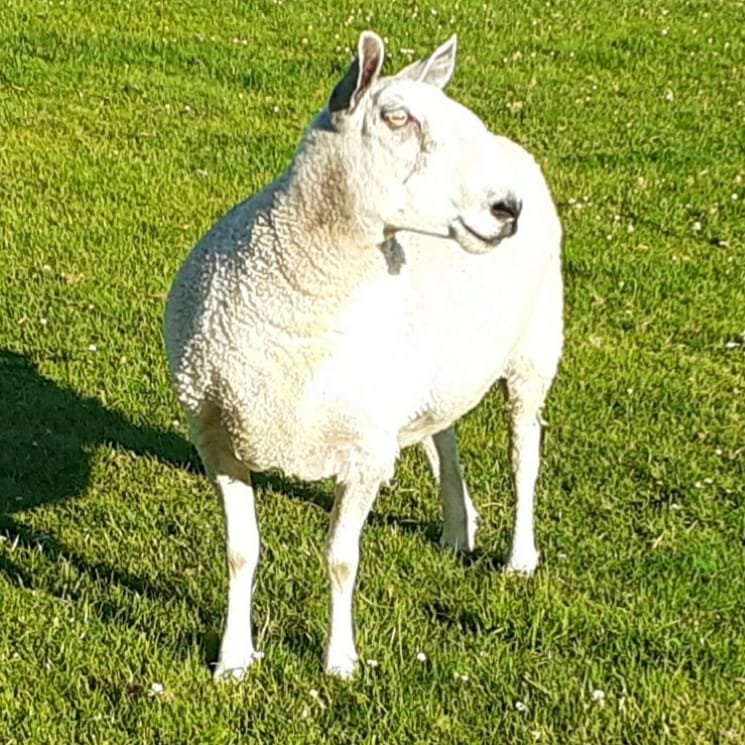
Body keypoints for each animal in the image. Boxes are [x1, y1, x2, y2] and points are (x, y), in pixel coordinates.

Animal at [163, 30, 560, 680]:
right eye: (398, 118)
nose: (508, 208)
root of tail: (515, 149)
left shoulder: (366, 452)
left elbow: (341, 559)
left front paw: (340, 660)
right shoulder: (217, 433)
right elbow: (240, 552)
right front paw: (234, 658)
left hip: (534, 351)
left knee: (524, 454)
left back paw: (519, 556)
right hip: (426, 376)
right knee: (443, 434)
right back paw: (458, 527)